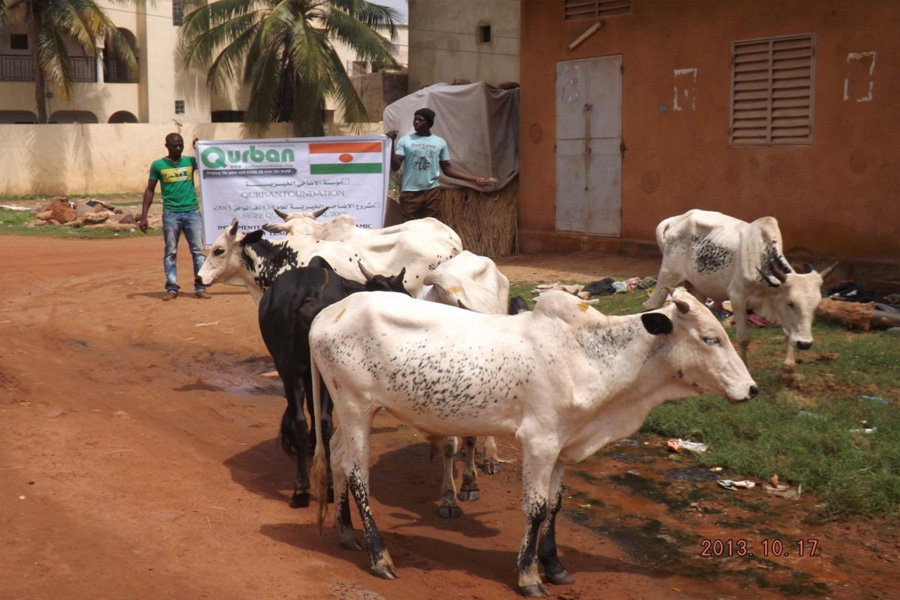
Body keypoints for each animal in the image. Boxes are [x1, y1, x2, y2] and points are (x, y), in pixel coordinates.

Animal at [255, 255, 406, 508]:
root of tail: (303, 293)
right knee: (325, 420)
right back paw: (328, 486)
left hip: (288, 368)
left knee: (299, 419)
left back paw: (301, 489)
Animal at [312, 288, 760, 596]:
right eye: (710, 338)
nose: (752, 390)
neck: (589, 357)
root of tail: (327, 313)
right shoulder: (539, 441)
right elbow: (537, 508)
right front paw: (529, 576)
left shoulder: (562, 446)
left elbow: (556, 506)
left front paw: (555, 566)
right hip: (355, 407)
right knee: (357, 475)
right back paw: (379, 556)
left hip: (350, 413)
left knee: (336, 458)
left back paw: (346, 533)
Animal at [640, 210, 836, 370]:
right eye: (791, 303)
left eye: (816, 306)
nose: (805, 344)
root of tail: (676, 219)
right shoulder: (738, 298)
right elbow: (743, 338)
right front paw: (745, 366)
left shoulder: (775, 303)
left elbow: (789, 333)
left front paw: (788, 367)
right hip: (667, 276)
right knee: (650, 306)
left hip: (697, 290)